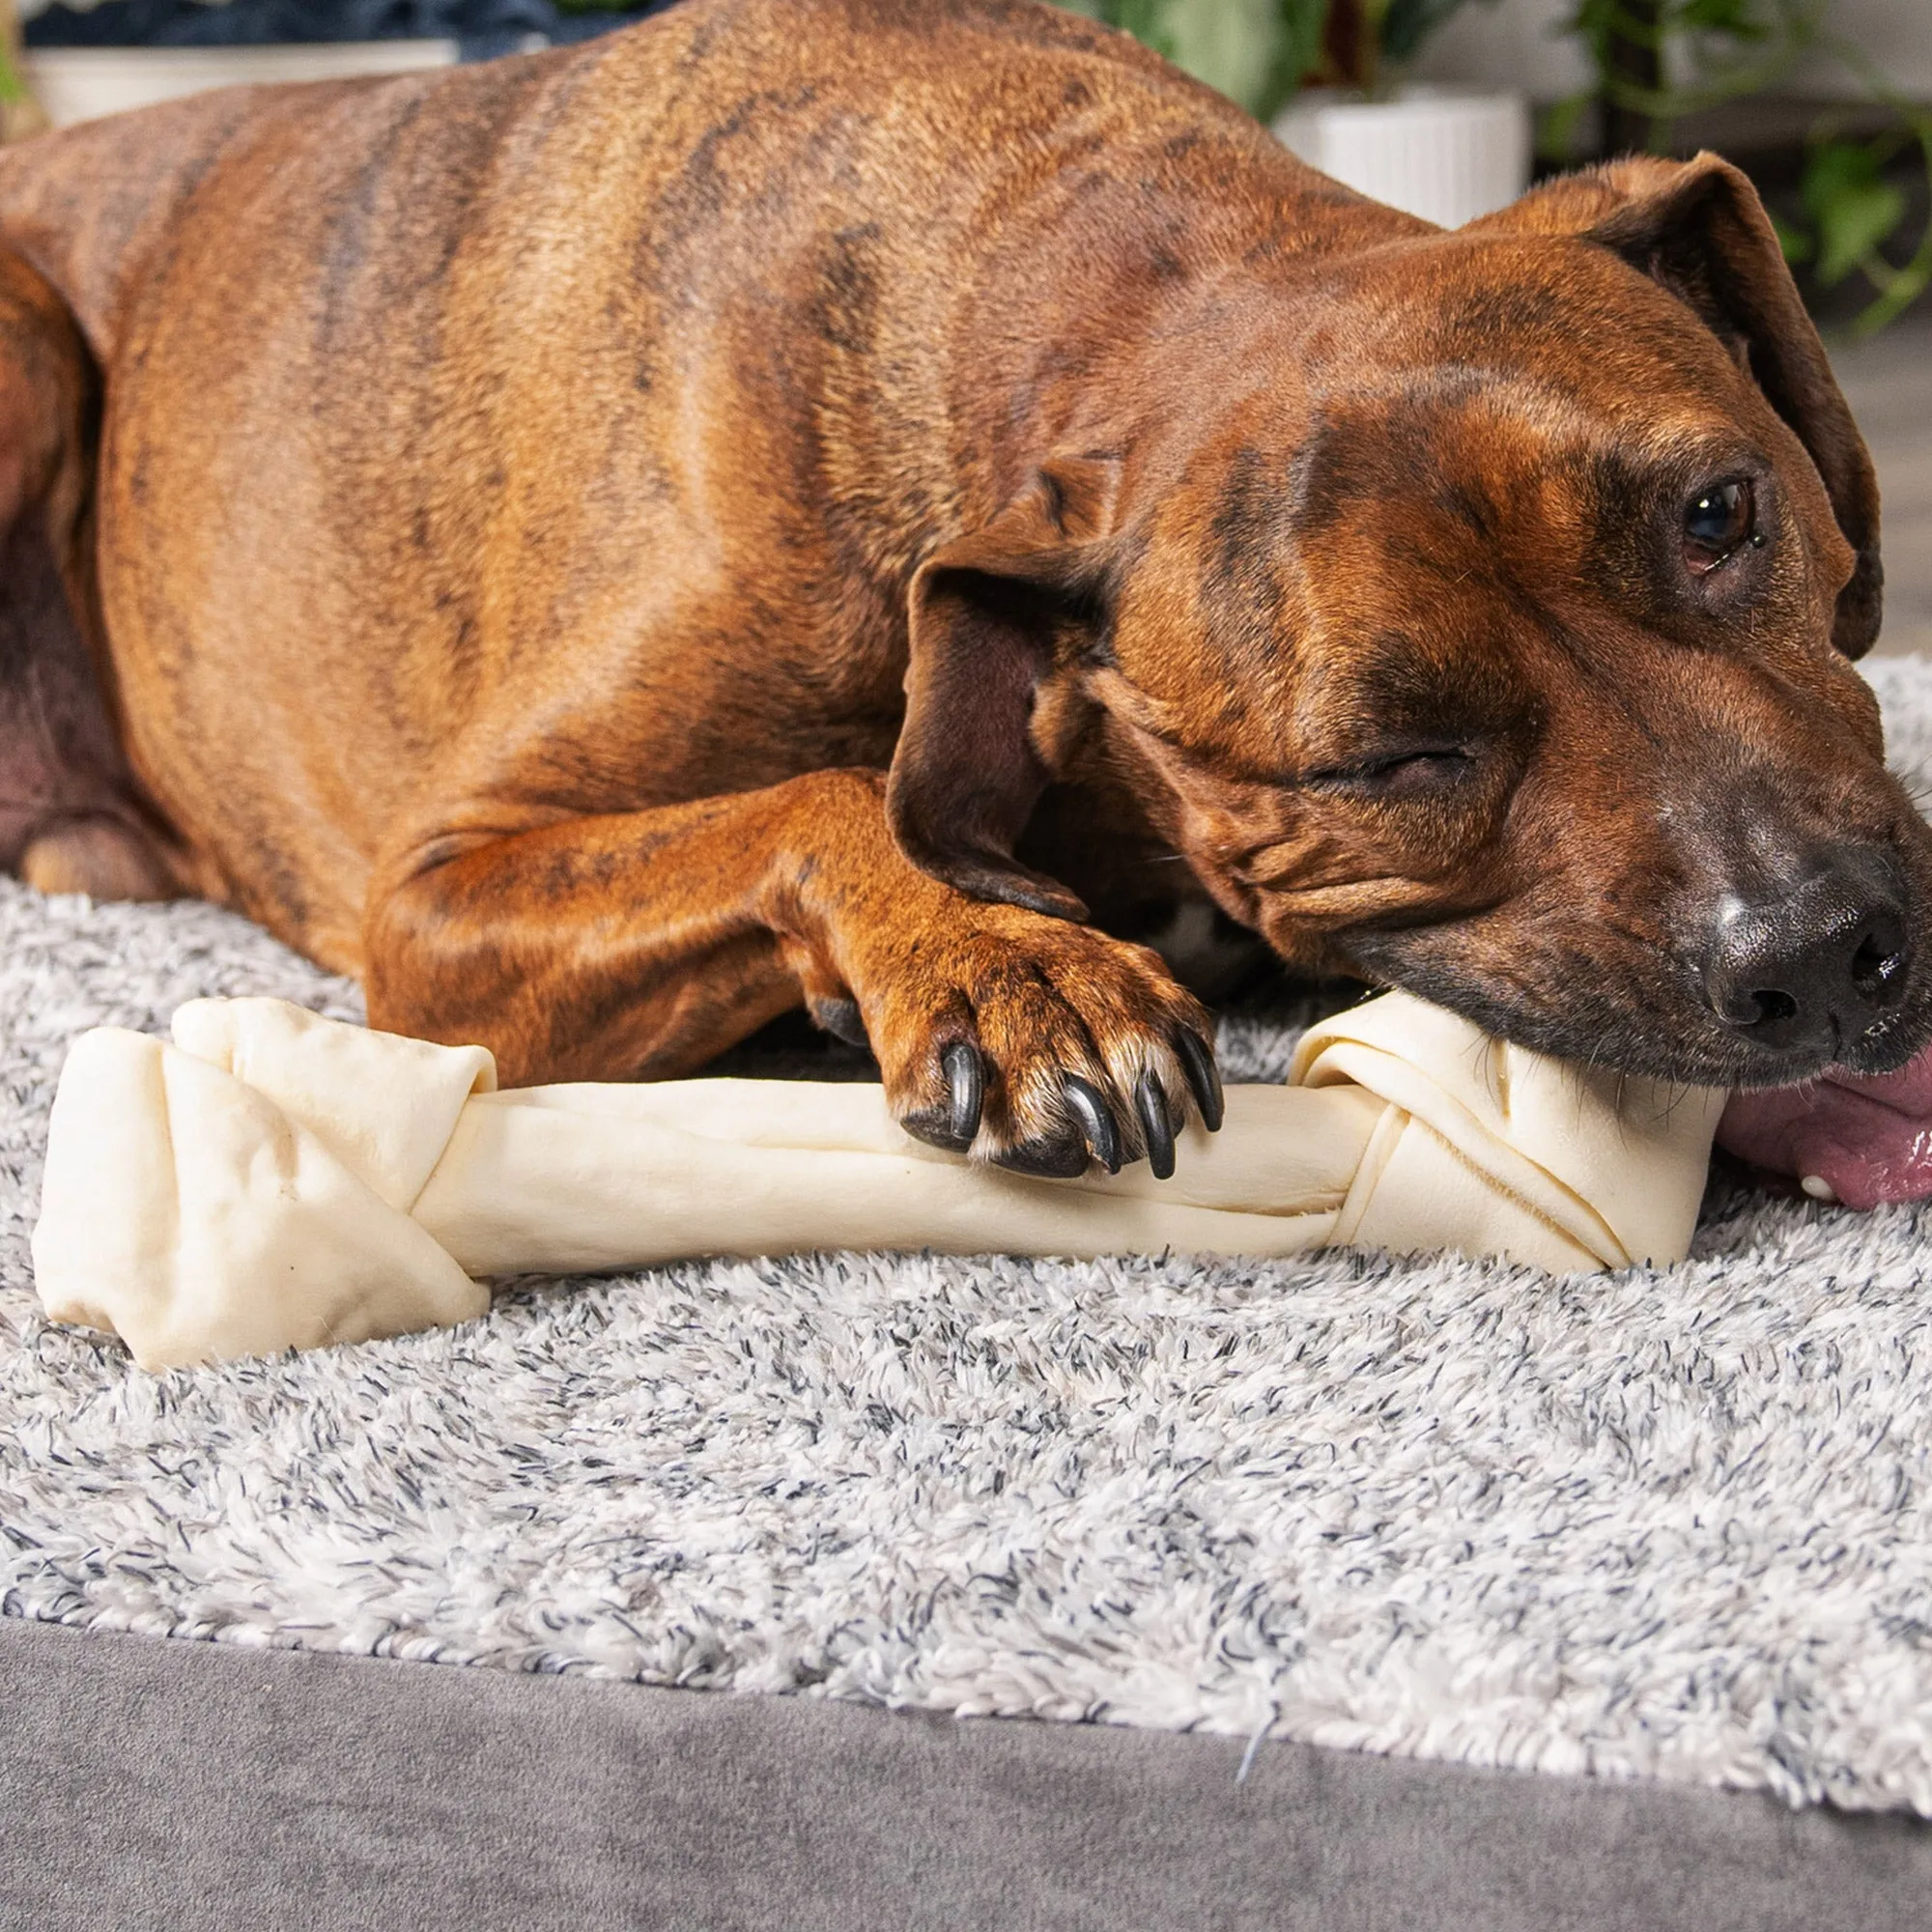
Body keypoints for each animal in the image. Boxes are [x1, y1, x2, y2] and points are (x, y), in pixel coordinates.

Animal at [0, 0, 1917, 1175]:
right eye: (1391, 763)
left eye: (1721, 513)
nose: (1824, 954)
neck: (1074, 270)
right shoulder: (434, 898)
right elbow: (828, 794)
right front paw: (1007, 962)